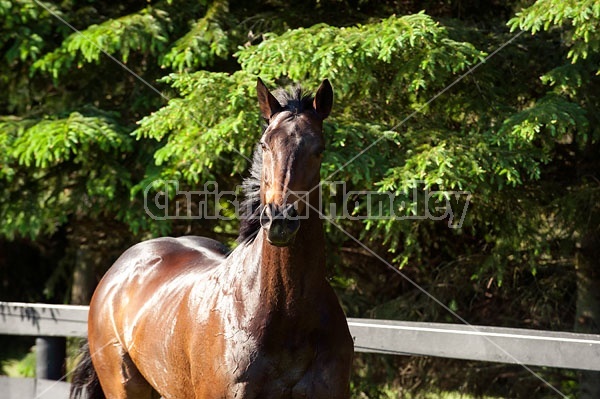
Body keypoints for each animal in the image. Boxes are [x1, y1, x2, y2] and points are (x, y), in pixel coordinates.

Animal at [70, 79, 354, 399]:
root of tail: (116, 272)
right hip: (124, 387)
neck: (285, 317)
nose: (280, 221)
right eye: (265, 144)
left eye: (319, 149)